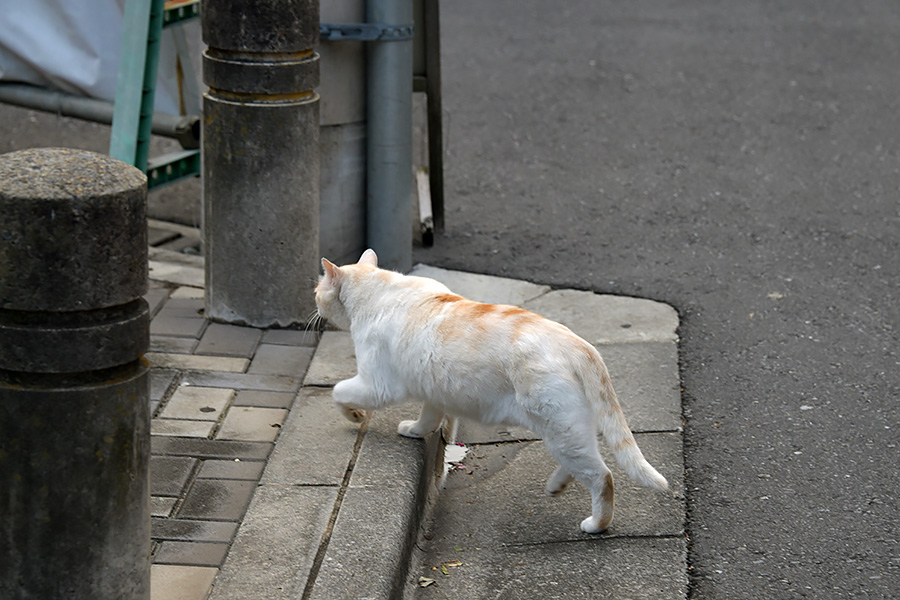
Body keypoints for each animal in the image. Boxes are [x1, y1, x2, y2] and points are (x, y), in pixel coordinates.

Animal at [316, 251, 668, 532]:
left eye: (318, 290)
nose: (314, 301)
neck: (378, 289)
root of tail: (578, 343)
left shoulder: (378, 385)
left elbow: (338, 391)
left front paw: (354, 414)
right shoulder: (433, 391)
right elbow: (429, 418)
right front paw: (415, 430)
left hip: (560, 430)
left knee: (602, 476)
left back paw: (596, 524)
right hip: (567, 432)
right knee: (583, 463)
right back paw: (557, 485)